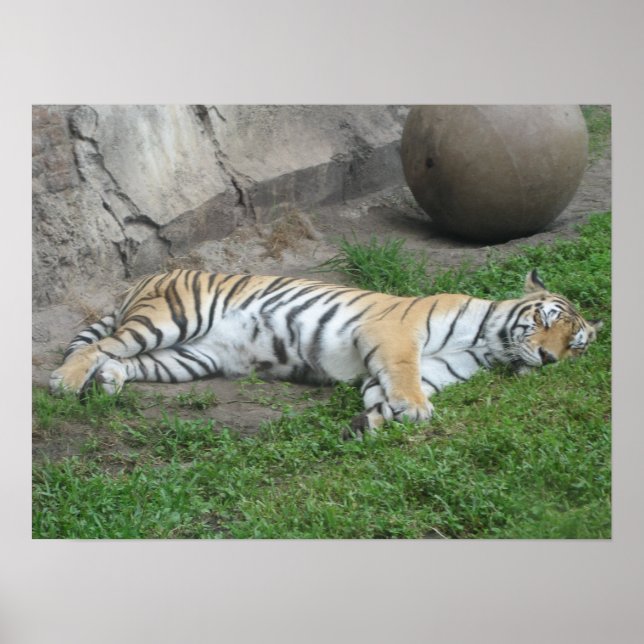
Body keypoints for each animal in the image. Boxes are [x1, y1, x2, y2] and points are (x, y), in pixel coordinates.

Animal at [49, 268, 602, 437]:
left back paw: (109, 383)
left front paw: (371, 423)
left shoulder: (435, 369)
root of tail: (148, 277)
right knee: (97, 345)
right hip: (171, 320)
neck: (489, 345)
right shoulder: (395, 334)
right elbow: (404, 376)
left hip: (188, 357)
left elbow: (383, 394)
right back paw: (66, 382)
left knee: (120, 359)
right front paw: (414, 410)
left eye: (573, 346)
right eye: (544, 321)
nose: (549, 360)